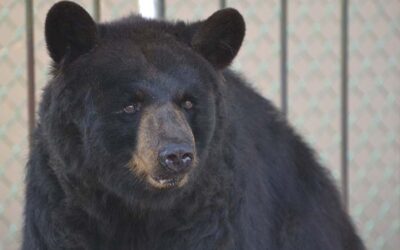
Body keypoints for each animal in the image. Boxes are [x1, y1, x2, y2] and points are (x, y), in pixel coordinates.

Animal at [23, 0, 364, 249]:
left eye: (188, 102)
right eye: (130, 104)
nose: (176, 155)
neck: (138, 208)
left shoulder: (213, 215)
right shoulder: (60, 208)